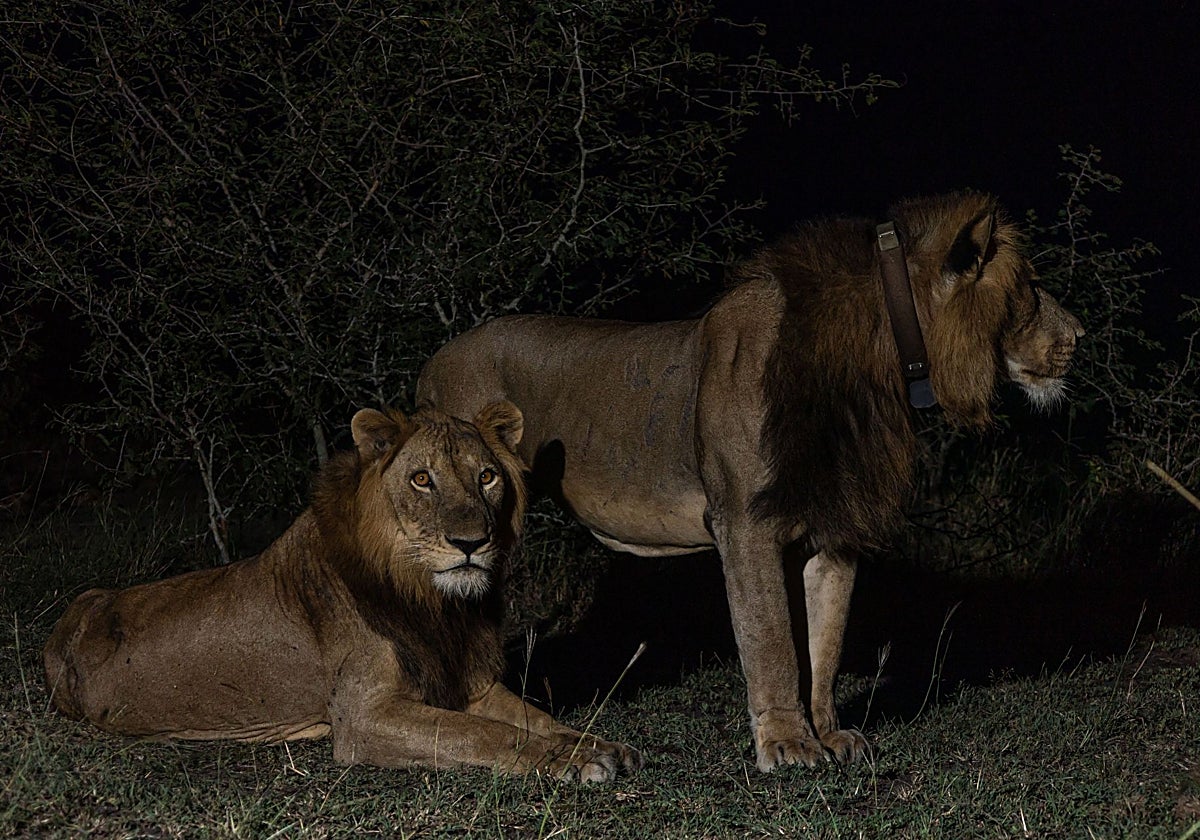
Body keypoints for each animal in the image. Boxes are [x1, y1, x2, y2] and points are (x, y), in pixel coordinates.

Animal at [43, 402, 642, 782]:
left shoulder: (467, 683)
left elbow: (534, 717)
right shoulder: (363, 716)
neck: (433, 602)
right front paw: (571, 761)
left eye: (487, 477)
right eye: (422, 479)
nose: (471, 543)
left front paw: (595, 744)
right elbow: (482, 735)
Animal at [416, 192, 1083, 772]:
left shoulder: (835, 526)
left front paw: (828, 734)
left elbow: (824, 644)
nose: (1078, 336)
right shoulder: (744, 522)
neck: (877, 366)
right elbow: (772, 642)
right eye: (1030, 288)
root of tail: (434, 360)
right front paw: (787, 744)